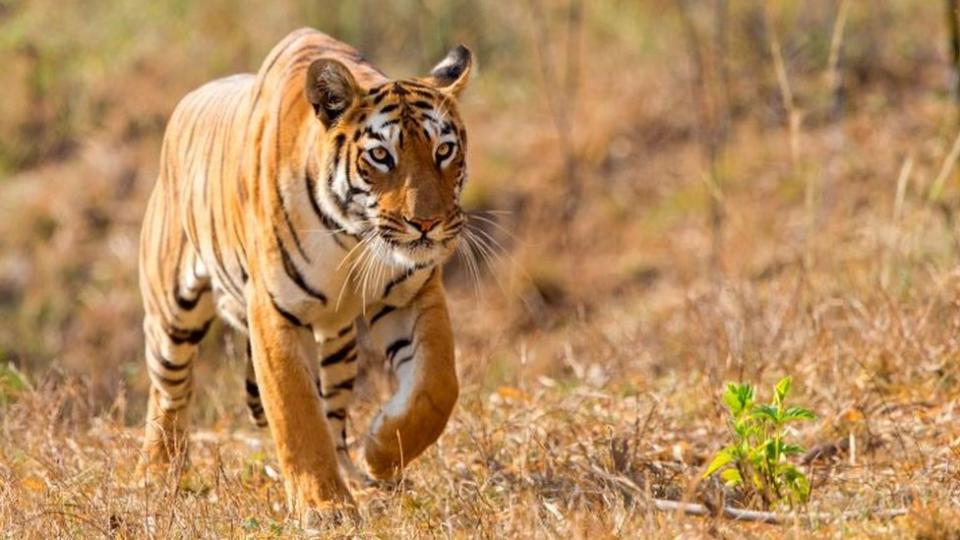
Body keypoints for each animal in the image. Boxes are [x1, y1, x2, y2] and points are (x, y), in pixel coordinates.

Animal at [137, 27, 474, 520]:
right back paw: (157, 476)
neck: (354, 236)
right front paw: (323, 505)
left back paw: (354, 470)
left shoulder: (411, 294)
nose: (426, 223)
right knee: (168, 393)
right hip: (172, 315)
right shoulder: (274, 312)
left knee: (333, 408)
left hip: (338, 341)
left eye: (444, 150)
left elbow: (437, 386)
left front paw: (380, 452)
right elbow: (296, 414)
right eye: (381, 156)